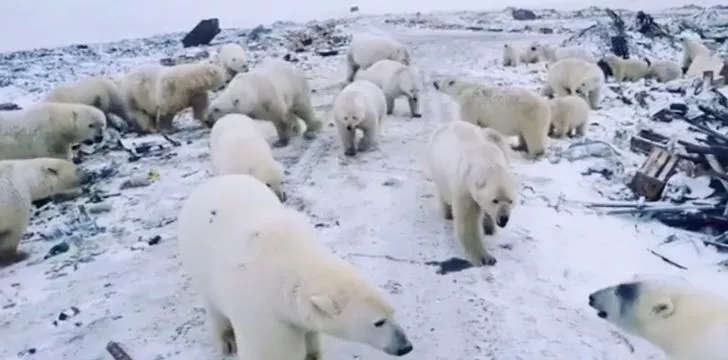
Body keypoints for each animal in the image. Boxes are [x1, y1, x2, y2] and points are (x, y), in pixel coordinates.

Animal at [176, 173, 416, 358]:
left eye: (392, 311)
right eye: (378, 322)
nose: (406, 347)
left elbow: (311, 332)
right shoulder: (260, 312)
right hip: (197, 261)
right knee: (213, 306)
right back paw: (226, 341)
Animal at [426, 120, 516, 264]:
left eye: (510, 201)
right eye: (495, 200)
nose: (503, 219)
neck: (486, 160)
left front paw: (489, 228)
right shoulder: (464, 187)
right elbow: (468, 221)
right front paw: (485, 257)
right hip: (438, 172)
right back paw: (447, 213)